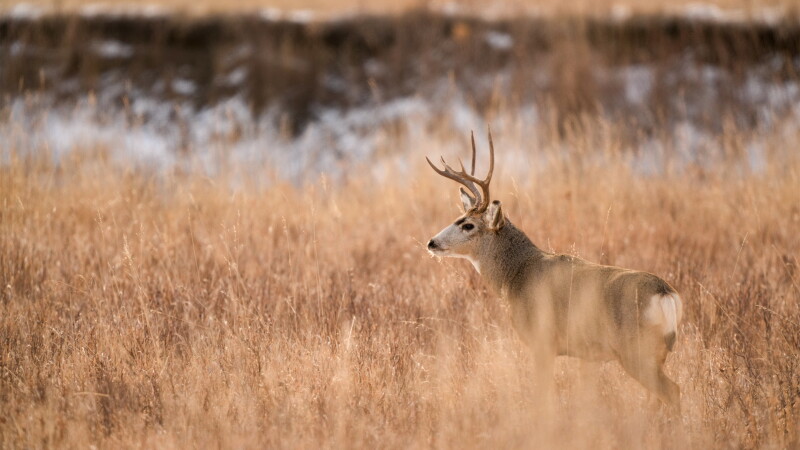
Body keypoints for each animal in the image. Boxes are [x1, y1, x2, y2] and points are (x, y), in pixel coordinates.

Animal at [425, 129, 683, 411]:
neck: (516, 274)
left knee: (673, 391)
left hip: (636, 349)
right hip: (655, 352)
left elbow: (543, 397)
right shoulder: (583, 355)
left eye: (468, 225)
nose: (432, 242)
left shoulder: (543, 341)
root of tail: (666, 294)